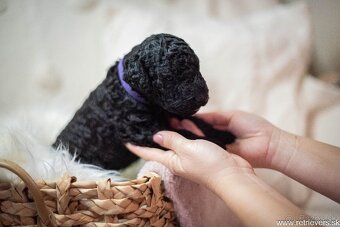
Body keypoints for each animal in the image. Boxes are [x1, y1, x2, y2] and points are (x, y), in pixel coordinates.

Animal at [53, 32, 235, 169]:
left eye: (198, 66)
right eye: (169, 77)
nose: (203, 98)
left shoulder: (169, 110)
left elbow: (199, 121)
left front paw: (223, 133)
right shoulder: (143, 130)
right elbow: (184, 133)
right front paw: (214, 142)